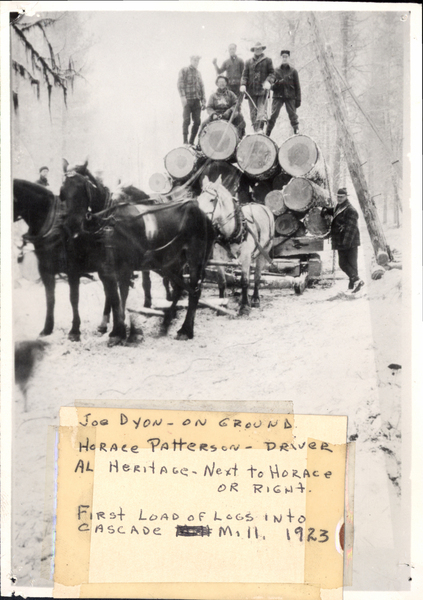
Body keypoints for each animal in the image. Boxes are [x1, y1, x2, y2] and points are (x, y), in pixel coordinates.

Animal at [60, 162, 215, 342]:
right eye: (62, 191)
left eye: (82, 188)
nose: (71, 225)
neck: (109, 221)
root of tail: (204, 215)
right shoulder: (100, 269)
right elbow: (108, 296)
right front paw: (105, 328)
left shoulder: (122, 268)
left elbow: (119, 296)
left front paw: (118, 331)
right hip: (174, 261)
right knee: (179, 287)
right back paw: (167, 321)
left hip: (195, 258)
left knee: (194, 290)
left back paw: (186, 329)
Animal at [198, 175, 274, 314]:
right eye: (198, 200)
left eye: (212, 199)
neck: (231, 231)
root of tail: (262, 206)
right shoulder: (218, 257)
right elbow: (222, 281)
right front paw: (222, 306)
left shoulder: (245, 255)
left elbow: (244, 281)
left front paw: (244, 307)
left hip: (263, 251)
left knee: (256, 276)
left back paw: (255, 299)